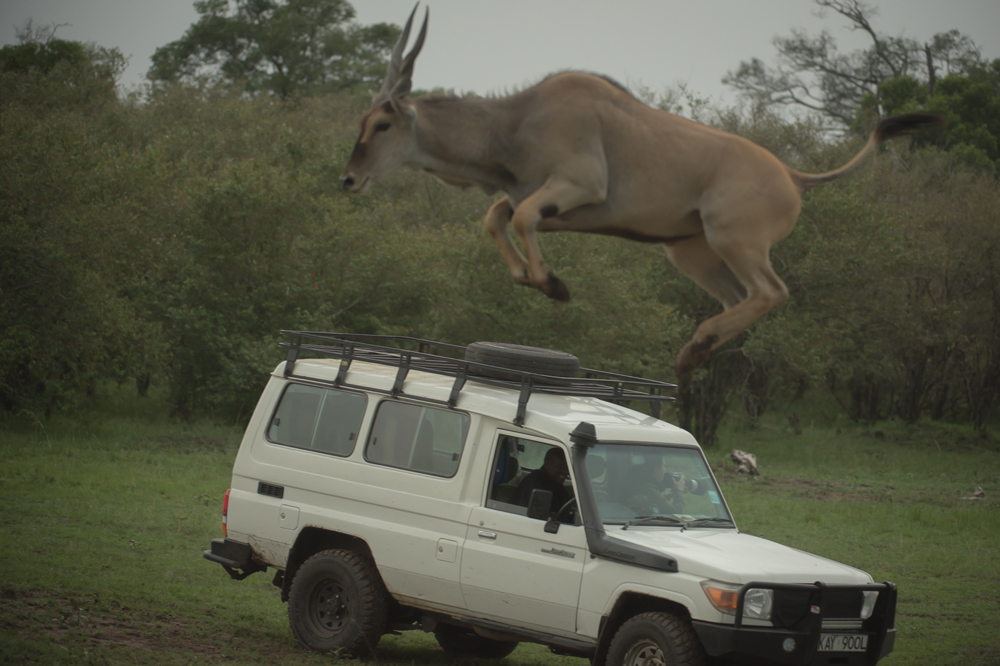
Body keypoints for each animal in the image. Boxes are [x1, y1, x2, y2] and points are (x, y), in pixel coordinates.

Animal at [344, 5, 944, 386]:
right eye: (363, 121)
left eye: (381, 125)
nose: (348, 180)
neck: (515, 121)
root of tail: (794, 177)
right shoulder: (553, 205)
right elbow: (499, 217)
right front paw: (542, 281)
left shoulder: (578, 186)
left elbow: (515, 220)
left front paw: (554, 285)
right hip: (690, 252)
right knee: (739, 298)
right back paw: (693, 355)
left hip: (734, 240)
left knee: (772, 292)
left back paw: (691, 350)